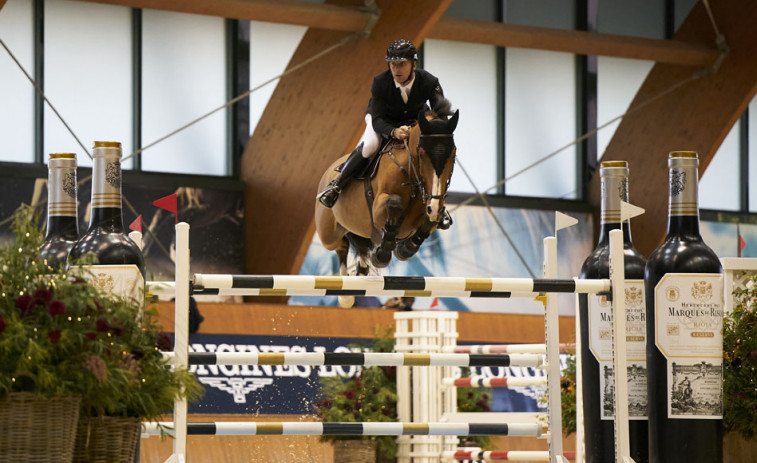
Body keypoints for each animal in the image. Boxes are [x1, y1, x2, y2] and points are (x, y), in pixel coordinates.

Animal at [314, 101, 458, 304]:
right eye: (422, 154)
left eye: (453, 155)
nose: (434, 206)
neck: (413, 176)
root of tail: (329, 171)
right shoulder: (378, 210)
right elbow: (394, 204)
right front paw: (382, 254)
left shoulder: (430, 208)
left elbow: (430, 222)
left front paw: (406, 248)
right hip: (328, 234)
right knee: (341, 246)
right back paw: (345, 295)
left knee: (360, 249)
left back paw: (361, 272)